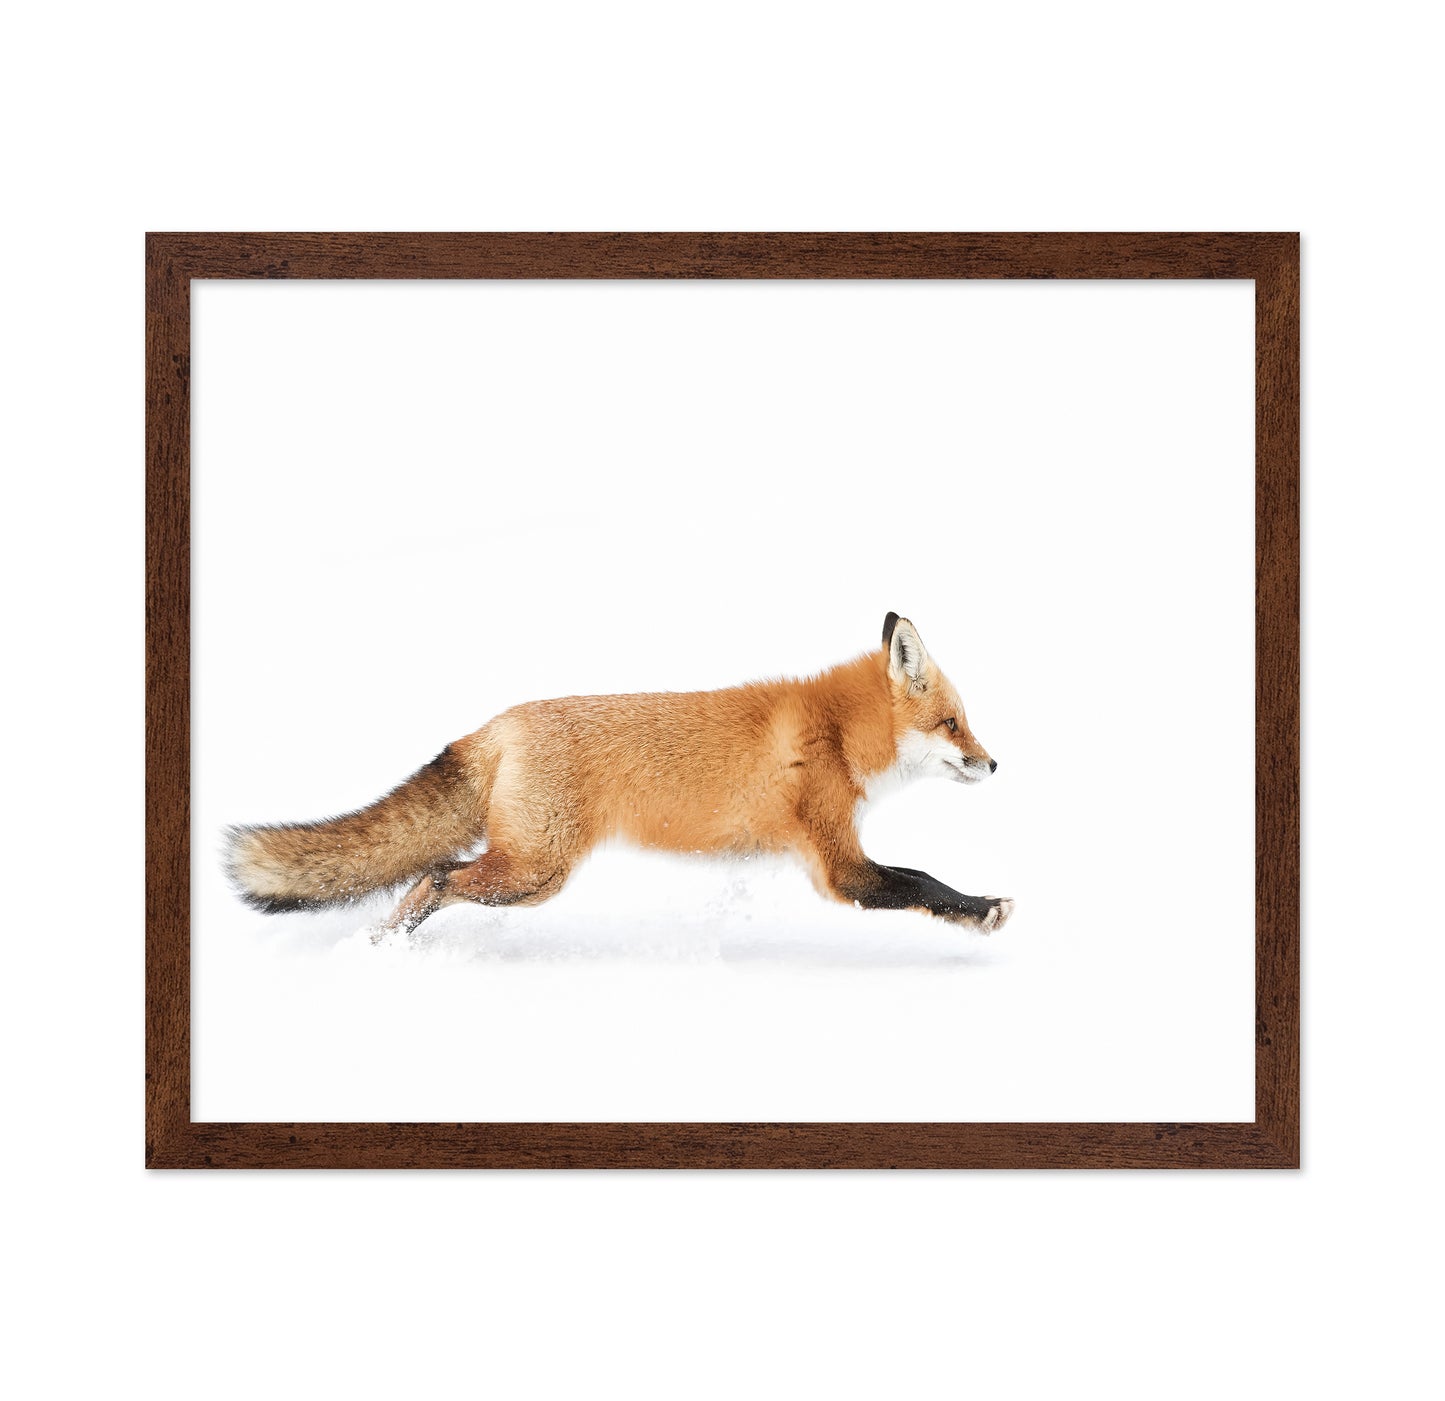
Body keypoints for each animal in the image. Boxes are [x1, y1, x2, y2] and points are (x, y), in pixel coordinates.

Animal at [226, 613, 1014, 938]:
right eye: (953, 724)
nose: (994, 762)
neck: (837, 733)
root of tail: (496, 723)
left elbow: (918, 879)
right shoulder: (839, 867)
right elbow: (921, 881)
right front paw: (983, 910)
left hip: (529, 875)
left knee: (432, 877)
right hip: (533, 872)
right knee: (433, 878)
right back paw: (384, 952)